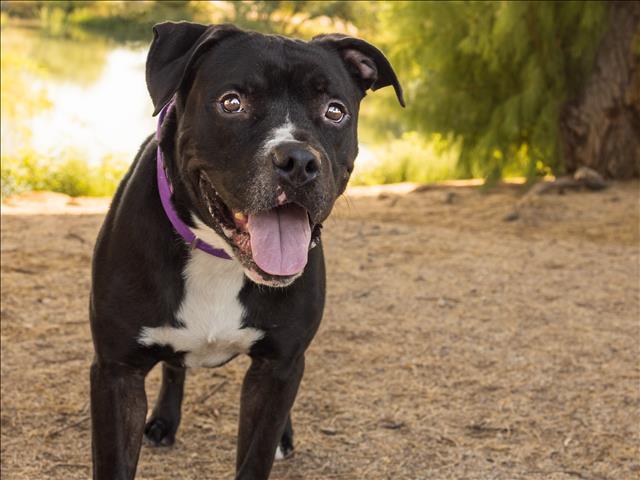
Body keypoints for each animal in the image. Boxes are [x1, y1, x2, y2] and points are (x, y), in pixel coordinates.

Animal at [89, 22, 402, 480]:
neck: (218, 257)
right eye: (232, 103)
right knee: (174, 368)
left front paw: (275, 440)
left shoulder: (278, 367)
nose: (298, 161)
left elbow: (257, 452)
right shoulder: (117, 372)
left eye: (334, 111)